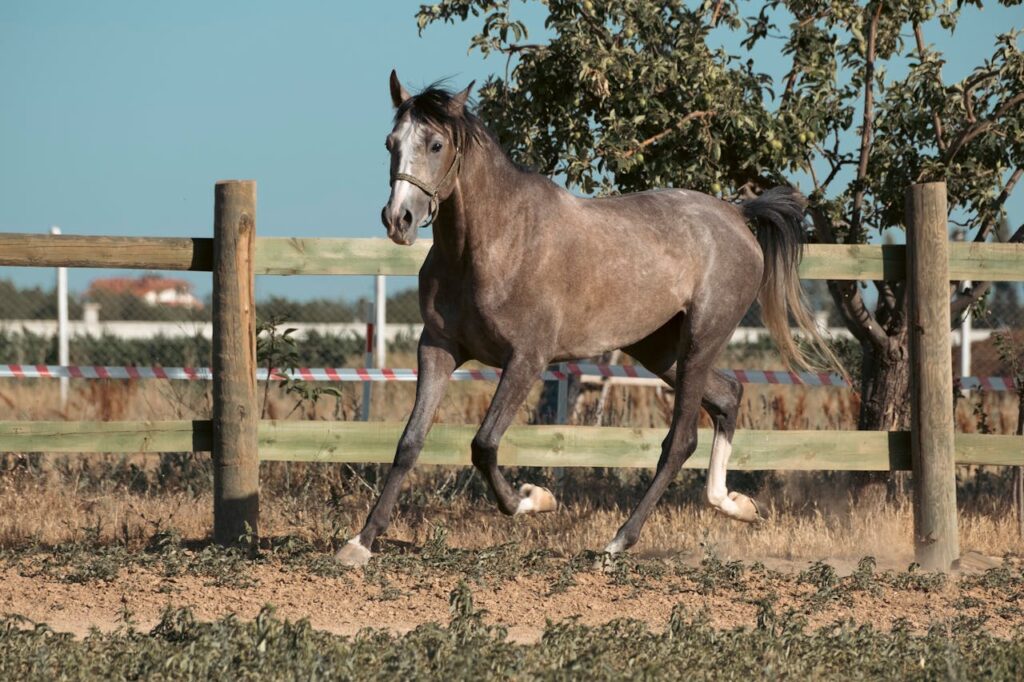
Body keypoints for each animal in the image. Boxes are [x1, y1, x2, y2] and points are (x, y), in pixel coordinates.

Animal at [336, 71, 839, 566]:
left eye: (437, 144)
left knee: (680, 440)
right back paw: (736, 505)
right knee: (729, 396)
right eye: (391, 142)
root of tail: (736, 214)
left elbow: (484, 443)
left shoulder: (527, 359)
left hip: (701, 340)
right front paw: (360, 542)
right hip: (660, 350)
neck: (492, 242)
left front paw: (533, 499)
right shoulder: (438, 349)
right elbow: (410, 442)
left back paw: (618, 542)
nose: (398, 219)